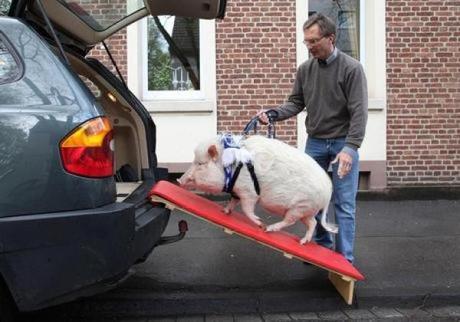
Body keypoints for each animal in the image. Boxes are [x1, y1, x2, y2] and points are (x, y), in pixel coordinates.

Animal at [177, 134, 338, 244]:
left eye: (201, 164)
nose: (179, 180)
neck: (230, 168)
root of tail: (329, 190)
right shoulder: (237, 192)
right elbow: (232, 202)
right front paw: (224, 211)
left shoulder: (249, 192)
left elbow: (247, 209)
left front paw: (259, 223)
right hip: (306, 211)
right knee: (313, 223)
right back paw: (302, 242)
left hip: (300, 207)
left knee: (291, 221)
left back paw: (268, 229)